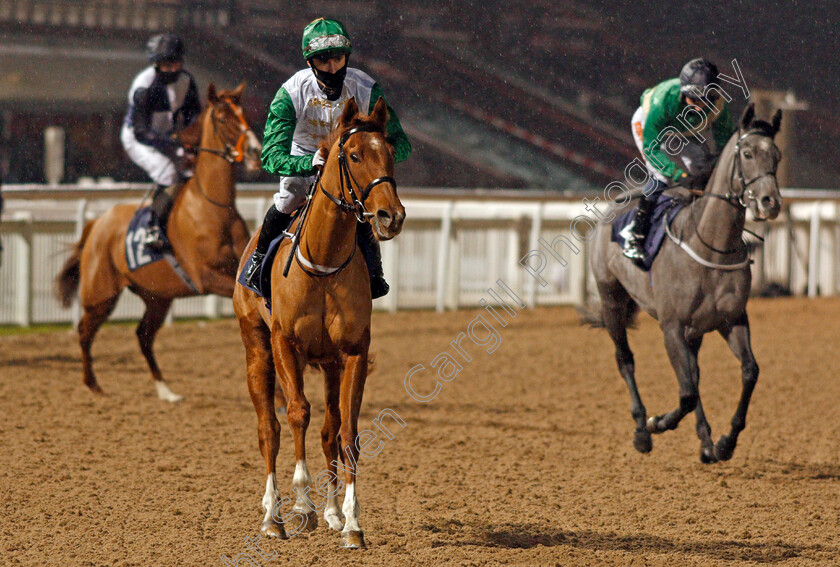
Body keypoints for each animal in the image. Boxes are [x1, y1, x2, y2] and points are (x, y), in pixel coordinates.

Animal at [56, 84, 260, 404]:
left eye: (245, 114)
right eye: (223, 117)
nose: (254, 151)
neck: (214, 208)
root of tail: (98, 222)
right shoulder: (205, 277)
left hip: (157, 297)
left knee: (143, 336)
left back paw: (165, 390)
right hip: (101, 296)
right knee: (84, 331)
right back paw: (93, 384)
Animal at [233, 97, 406, 552]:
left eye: (389, 152)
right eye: (353, 155)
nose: (391, 216)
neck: (324, 264)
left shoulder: (353, 352)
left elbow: (346, 431)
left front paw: (350, 521)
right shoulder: (285, 343)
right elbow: (296, 414)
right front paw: (301, 505)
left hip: (328, 364)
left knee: (328, 429)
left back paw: (330, 512)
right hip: (257, 347)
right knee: (269, 428)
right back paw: (273, 515)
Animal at [588, 104, 784, 464]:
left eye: (776, 156)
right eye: (748, 153)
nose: (770, 202)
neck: (711, 245)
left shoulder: (731, 319)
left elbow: (749, 372)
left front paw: (725, 442)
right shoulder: (672, 327)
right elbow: (688, 393)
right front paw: (657, 423)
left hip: (695, 330)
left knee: (694, 373)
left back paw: (706, 442)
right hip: (611, 299)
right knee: (625, 360)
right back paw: (642, 429)